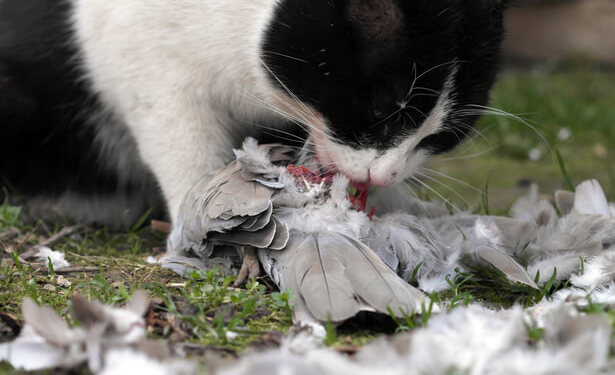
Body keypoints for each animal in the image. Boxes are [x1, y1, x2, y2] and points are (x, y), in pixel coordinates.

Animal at [0, 0, 510, 231]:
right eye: (383, 109)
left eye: (441, 136)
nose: (383, 175)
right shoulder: (146, 63)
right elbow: (187, 153)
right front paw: (205, 232)